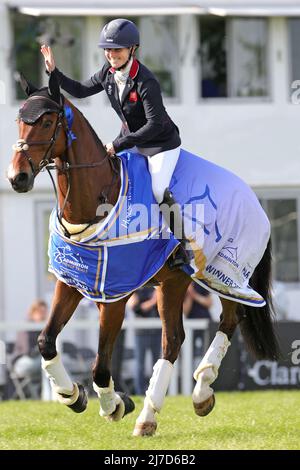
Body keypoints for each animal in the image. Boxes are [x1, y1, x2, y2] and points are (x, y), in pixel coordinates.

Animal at [6, 73, 278, 436]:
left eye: (48, 121)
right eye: (19, 121)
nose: (17, 178)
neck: (95, 201)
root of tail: (253, 197)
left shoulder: (115, 296)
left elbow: (100, 366)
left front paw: (114, 405)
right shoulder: (71, 281)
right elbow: (46, 341)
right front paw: (72, 395)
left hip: (225, 277)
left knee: (223, 323)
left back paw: (198, 391)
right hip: (173, 283)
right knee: (175, 339)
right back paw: (155, 413)